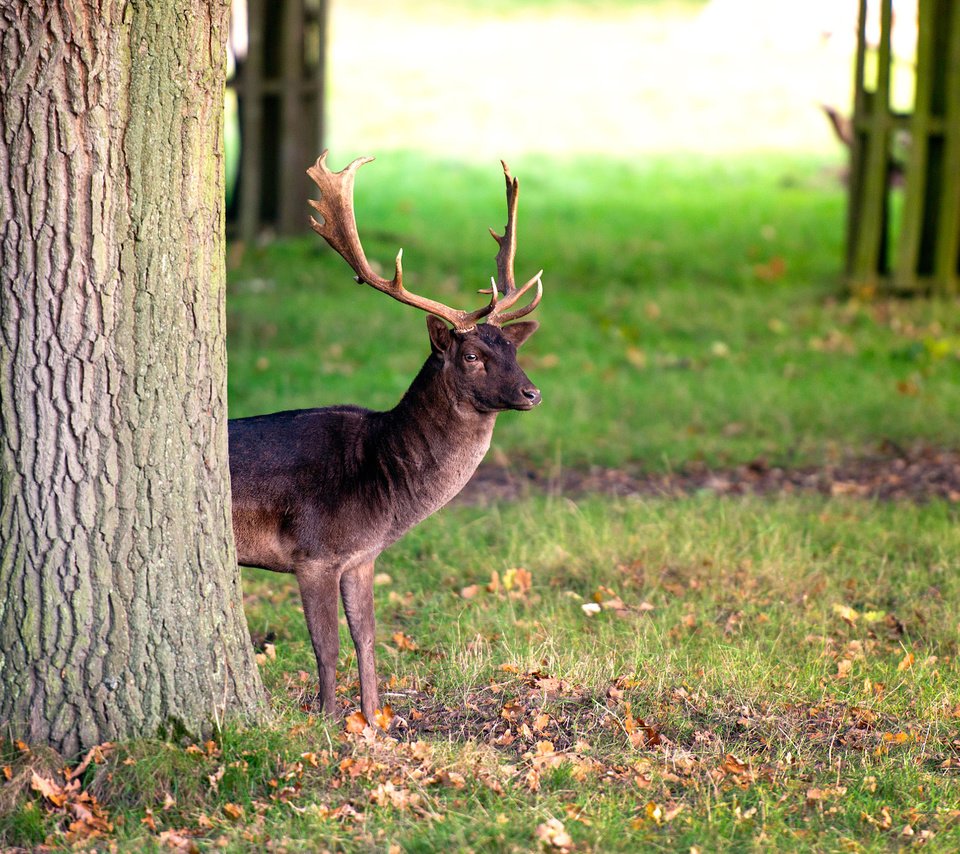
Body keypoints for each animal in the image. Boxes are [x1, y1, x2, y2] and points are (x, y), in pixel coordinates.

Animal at [226, 152, 540, 724]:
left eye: (513, 348)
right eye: (471, 355)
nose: (532, 392)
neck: (382, 484)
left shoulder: (361, 557)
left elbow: (367, 638)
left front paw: (374, 721)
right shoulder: (313, 553)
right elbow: (325, 646)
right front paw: (329, 722)